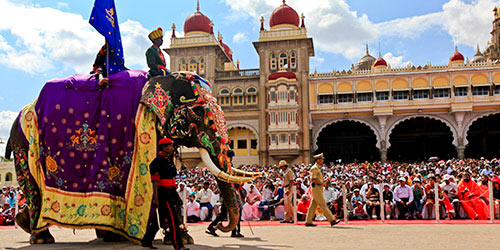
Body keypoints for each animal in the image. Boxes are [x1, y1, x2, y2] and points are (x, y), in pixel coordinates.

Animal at [4, 70, 262, 244]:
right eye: (198, 113)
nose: (221, 227)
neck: (162, 78)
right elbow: (156, 184)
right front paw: (175, 238)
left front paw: (181, 239)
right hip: (23, 145)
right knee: (32, 187)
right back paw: (41, 237)